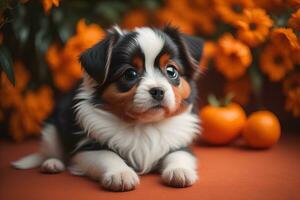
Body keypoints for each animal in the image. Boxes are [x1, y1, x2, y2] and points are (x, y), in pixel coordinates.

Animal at [12, 25, 204, 191]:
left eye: (171, 71)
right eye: (130, 74)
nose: (157, 90)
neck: (143, 125)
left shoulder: (179, 142)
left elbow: (179, 155)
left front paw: (180, 171)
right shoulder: (87, 147)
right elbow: (108, 155)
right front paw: (121, 174)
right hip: (51, 131)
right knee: (51, 151)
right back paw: (52, 163)